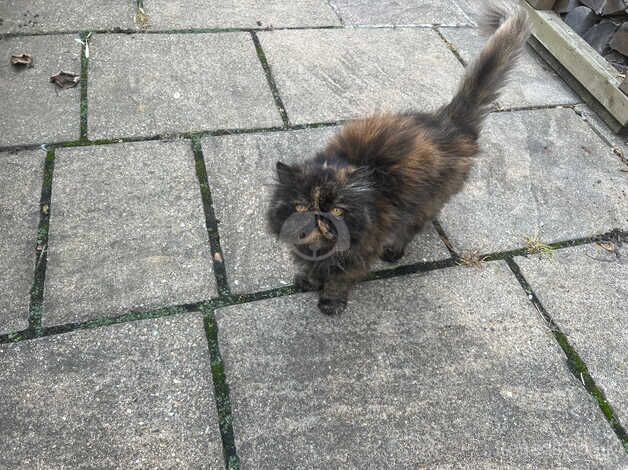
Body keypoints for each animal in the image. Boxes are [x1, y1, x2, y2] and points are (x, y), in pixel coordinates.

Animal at [264, 3, 528, 316]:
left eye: (338, 211)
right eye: (303, 207)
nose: (320, 220)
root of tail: (450, 121)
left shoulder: (359, 252)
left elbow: (339, 278)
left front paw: (330, 302)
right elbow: (313, 265)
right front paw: (308, 279)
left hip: (425, 202)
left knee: (413, 225)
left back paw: (394, 251)